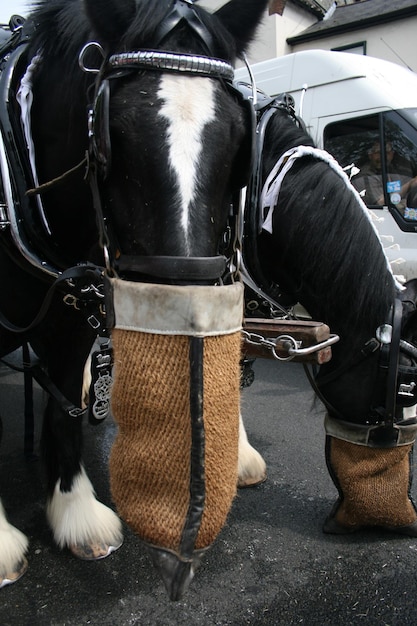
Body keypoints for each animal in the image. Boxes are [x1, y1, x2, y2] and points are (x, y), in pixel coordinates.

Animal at [0, 0, 266, 588]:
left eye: (240, 140)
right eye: (112, 133)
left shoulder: (69, 314)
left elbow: (64, 407)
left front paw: (75, 512)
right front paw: (3, 542)